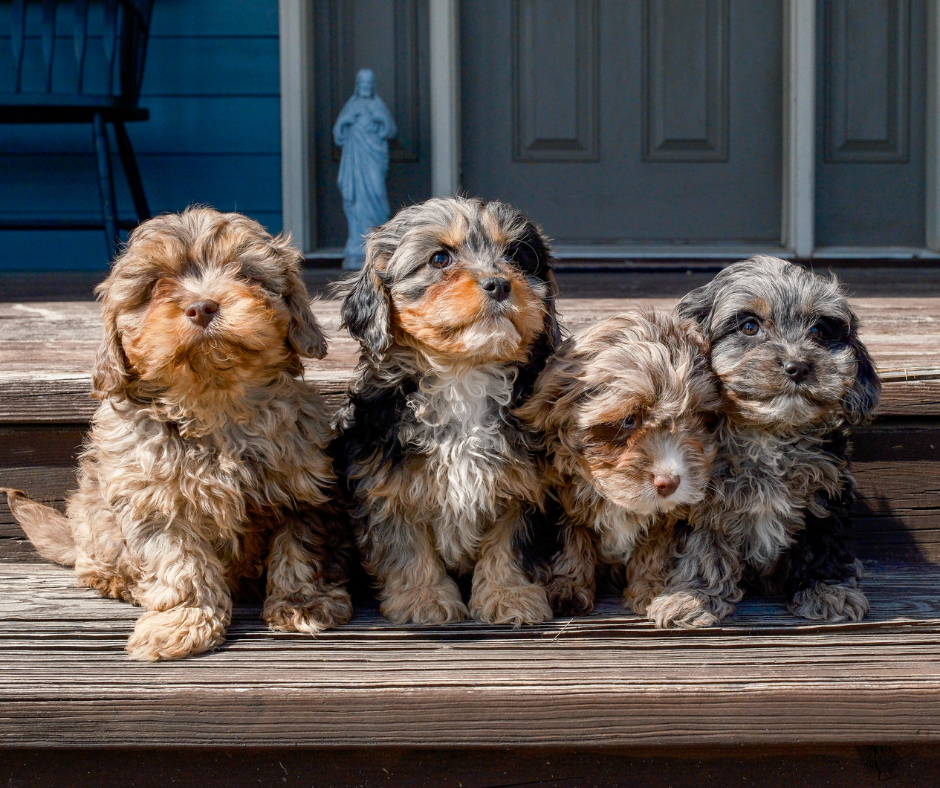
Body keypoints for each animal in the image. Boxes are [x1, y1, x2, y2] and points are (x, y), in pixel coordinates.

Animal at [1, 208, 352, 660]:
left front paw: (302, 604)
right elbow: (178, 562)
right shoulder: (152, 500)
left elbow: (300, 549)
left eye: (246, 274)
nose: (202, 306)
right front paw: (182, 622)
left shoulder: (304, 489)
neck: (213, 401)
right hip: (93, 516)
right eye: (154, 286)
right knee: (91, 558)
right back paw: (118, 581)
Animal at [334, 197, 560, 628]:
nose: (499, 283)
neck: (463, 376)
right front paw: (423, 599)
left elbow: (512, 543)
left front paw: (510, 595)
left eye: (516, 256)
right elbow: (404, 545)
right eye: (440, 258)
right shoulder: (384, 481)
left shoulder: (530, 485)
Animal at [516, 310, 724, 620]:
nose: (669, 482)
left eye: (698, 419)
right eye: (628, 420)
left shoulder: (669, 518)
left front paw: (649, 589)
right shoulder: (565, 500)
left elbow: (655, 547)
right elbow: (572, 539)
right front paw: (569, 587)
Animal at [648, 258, 880, 628]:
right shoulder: (701, 500)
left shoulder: (827, 487)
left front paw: (827, 590)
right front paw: (693, 597)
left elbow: (824, 540)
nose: (798, 366)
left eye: (819, 331)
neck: (768, 432)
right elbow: (702, 546)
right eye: (749, 326)